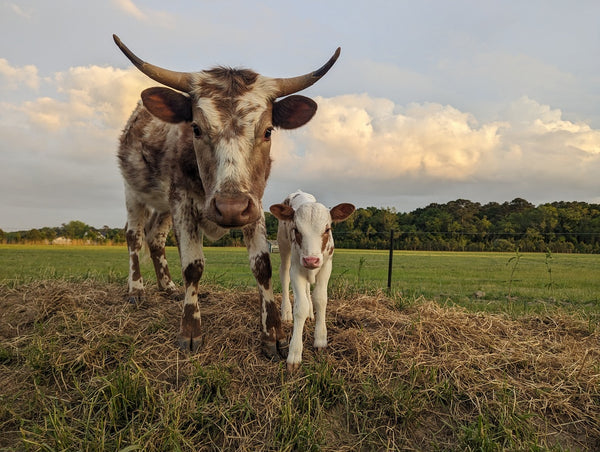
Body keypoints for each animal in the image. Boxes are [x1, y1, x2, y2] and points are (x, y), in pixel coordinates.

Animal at [268, 191, 356, 370]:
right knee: (284, 275)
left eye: (327, 229)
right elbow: (299, 307)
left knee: (308, 288)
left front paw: (320, 339)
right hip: (284, 247)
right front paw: (294, 353)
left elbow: (320, 299)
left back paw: (310, 312)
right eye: (296, 229)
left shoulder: (326, 265)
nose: (311, 260)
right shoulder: (296, 268)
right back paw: (286, 312)